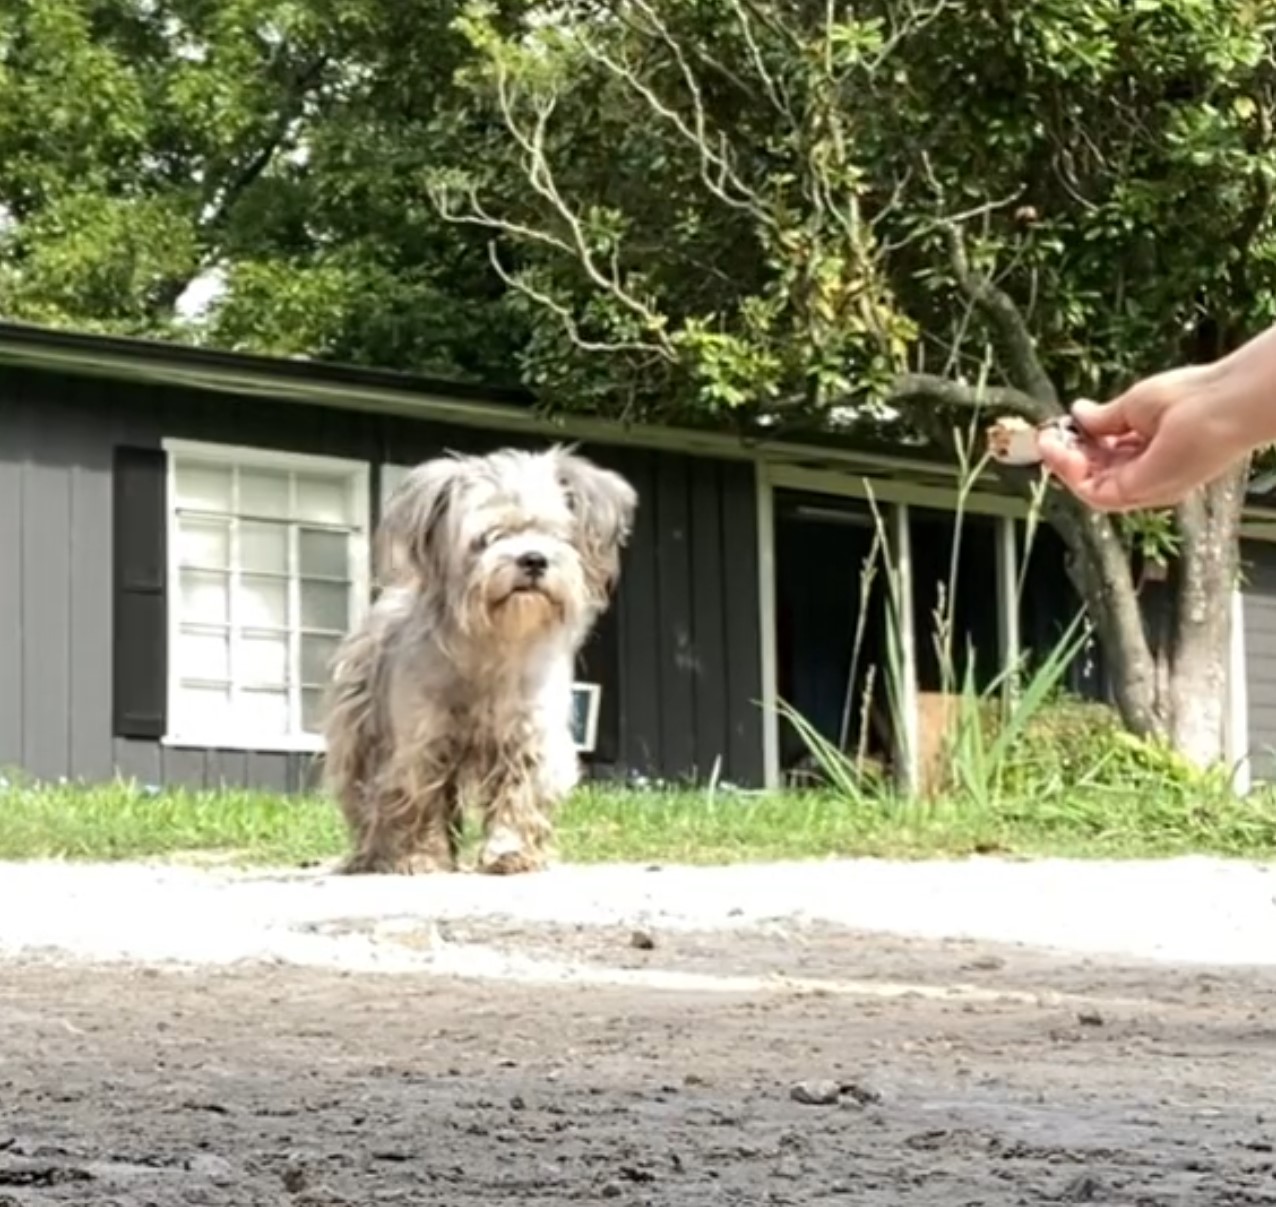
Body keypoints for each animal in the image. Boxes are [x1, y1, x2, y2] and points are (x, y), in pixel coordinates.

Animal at [321, 441, 635, 872]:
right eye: (488, 537)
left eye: (554, 534)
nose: (533, 559)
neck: (494, 643)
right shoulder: (422, 742)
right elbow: (419, 801)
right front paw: (421, 857)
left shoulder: (527, 735)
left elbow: (518, 797)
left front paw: (510, 852)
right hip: (359, 735)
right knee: (366, 800)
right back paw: (372, 855)